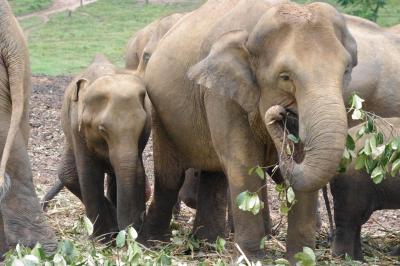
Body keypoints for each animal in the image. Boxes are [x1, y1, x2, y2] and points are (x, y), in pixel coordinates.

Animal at [55, 54, 150, 239]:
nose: (128, 231)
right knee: (68, 175)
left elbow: (136, 172)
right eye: (102, 129)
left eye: (142, 126)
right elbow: (89, 174)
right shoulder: (78, 129)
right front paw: (103, 238)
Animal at [142, 0, 358, 260]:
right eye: (285, 77)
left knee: (214, 176)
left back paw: (206, 242)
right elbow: (242, 162)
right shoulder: (221, 94)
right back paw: (152, 242)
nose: (281, 114)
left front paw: (300, 259)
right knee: (171, 177)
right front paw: (251, 259)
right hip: (161, 117)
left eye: (346, 71)